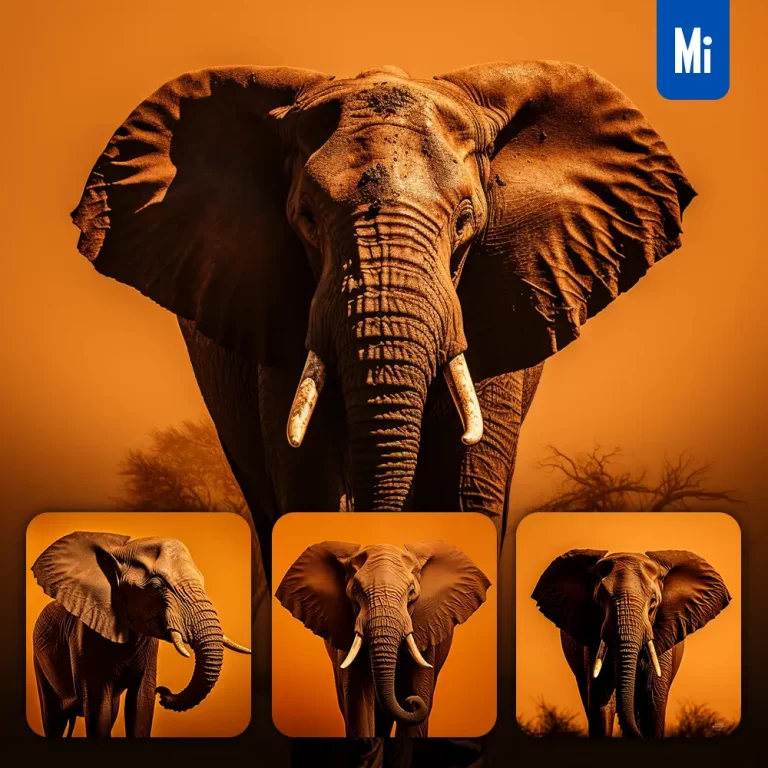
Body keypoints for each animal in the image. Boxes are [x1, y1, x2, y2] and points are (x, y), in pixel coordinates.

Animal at [30, 532, 251, 738]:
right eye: (157, 586)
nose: (163, 691)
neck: (118, 552)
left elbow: (141, 703)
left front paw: (150, 695)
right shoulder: (84, 638)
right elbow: (98, 708)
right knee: (53, 719)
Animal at [274, 540, 491, 738]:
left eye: (412, 592)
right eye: (356, 591)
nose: (411, 702)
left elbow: (419, 690)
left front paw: (416, 697)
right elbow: (358, 701)